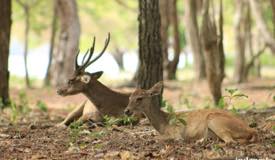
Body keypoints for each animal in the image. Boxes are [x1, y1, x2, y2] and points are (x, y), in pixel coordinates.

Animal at [125, 82, 258, 143]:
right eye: (129, 97)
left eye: (140, 98)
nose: (126, 111)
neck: (163, 123)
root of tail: (250, 129)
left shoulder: (176, 133)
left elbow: (158, 138)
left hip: (215, 120)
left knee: (230, 141)